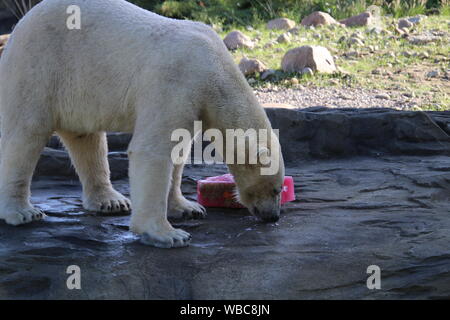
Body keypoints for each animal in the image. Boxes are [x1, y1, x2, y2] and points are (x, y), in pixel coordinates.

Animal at [0, 0, 284, 248]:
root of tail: (19, 27)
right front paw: (168, 234)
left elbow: (178, 151)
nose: (273, 216)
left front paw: (188, 208)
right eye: (276, 189)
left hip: (78, 87)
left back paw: (111, 201)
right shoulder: (175, 82)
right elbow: (152, 151)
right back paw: (22, 212)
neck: (215, 70)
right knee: (25, 134)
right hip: (41, 67)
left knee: (86, 139)